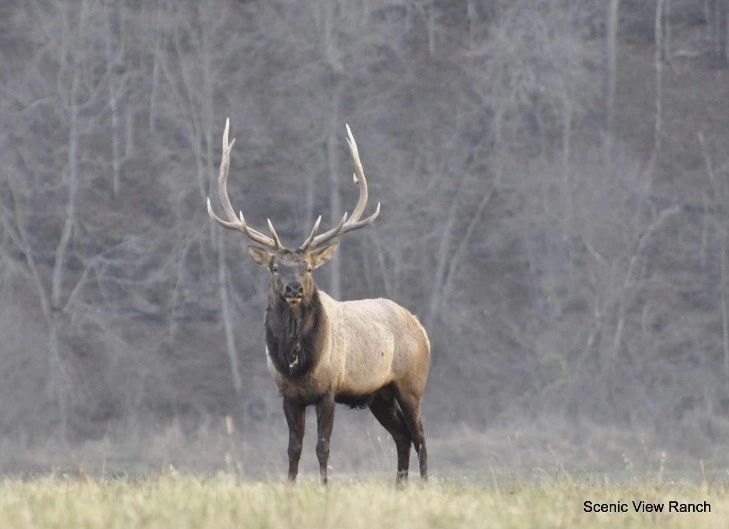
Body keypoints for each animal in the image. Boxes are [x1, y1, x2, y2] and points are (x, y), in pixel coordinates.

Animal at [207, 119, 431, 486]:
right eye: (275, 267)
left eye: (308, 267)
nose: (294, 288)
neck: (297, 362)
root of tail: (421, 327)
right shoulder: (288, 395)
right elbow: (293, 448)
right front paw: (289, 487)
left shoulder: (329, 390)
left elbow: (322, 447)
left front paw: (325, 488)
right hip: (379, 396)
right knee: (401, 437)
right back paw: (399, 487)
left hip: (412, 384)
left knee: (420, 436)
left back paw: (423, 485)